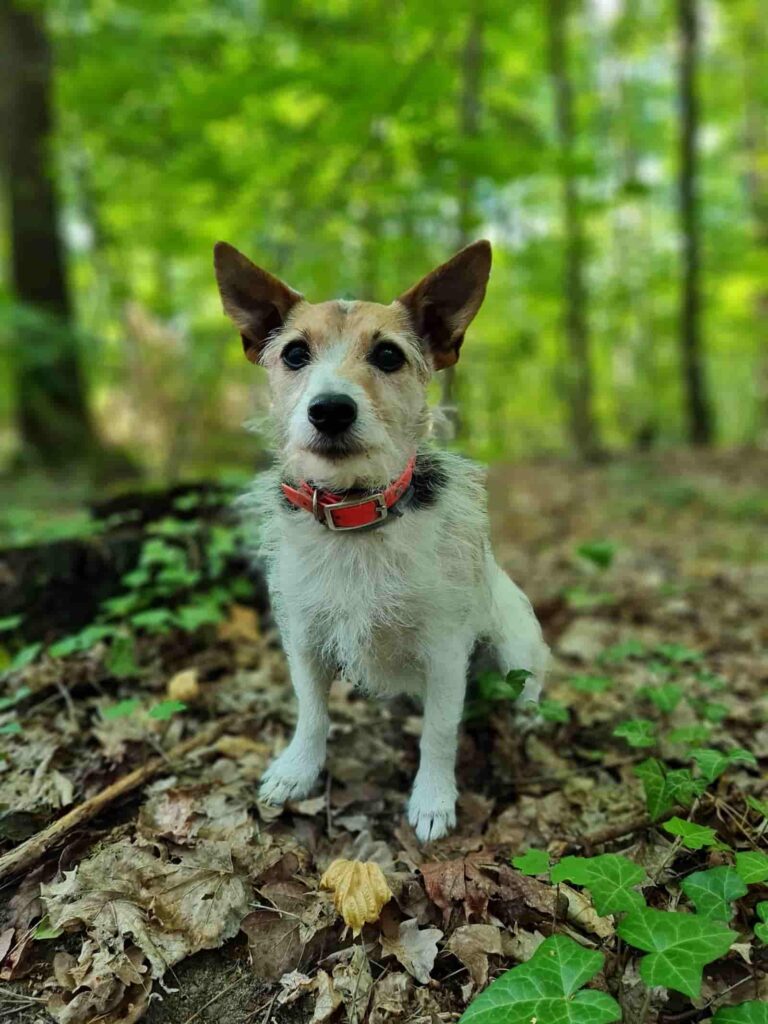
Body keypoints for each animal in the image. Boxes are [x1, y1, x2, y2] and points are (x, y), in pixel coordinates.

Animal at [214, 237, 548, 839]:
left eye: (389, 355)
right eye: (294, 354)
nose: (330, 409)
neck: (357, 516)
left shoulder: (446, 650)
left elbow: (439, 731)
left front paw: (433, 800)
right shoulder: (303, 635)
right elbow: (311, 712)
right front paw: (298, 771)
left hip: (514, 646)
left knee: (526, 689)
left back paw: (527, 722)